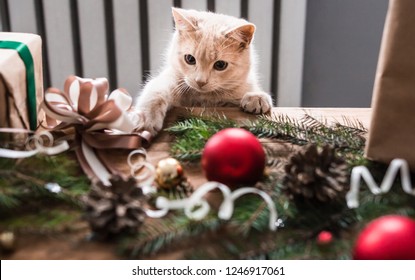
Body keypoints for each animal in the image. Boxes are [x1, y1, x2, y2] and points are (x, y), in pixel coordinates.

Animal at [133, 7, 274, 137]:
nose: (200, 81)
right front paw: (146, 117)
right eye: (190, 59)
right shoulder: (173, 79)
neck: (205, 98)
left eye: (220, 65)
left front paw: (257, 97)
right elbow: (156, 90)